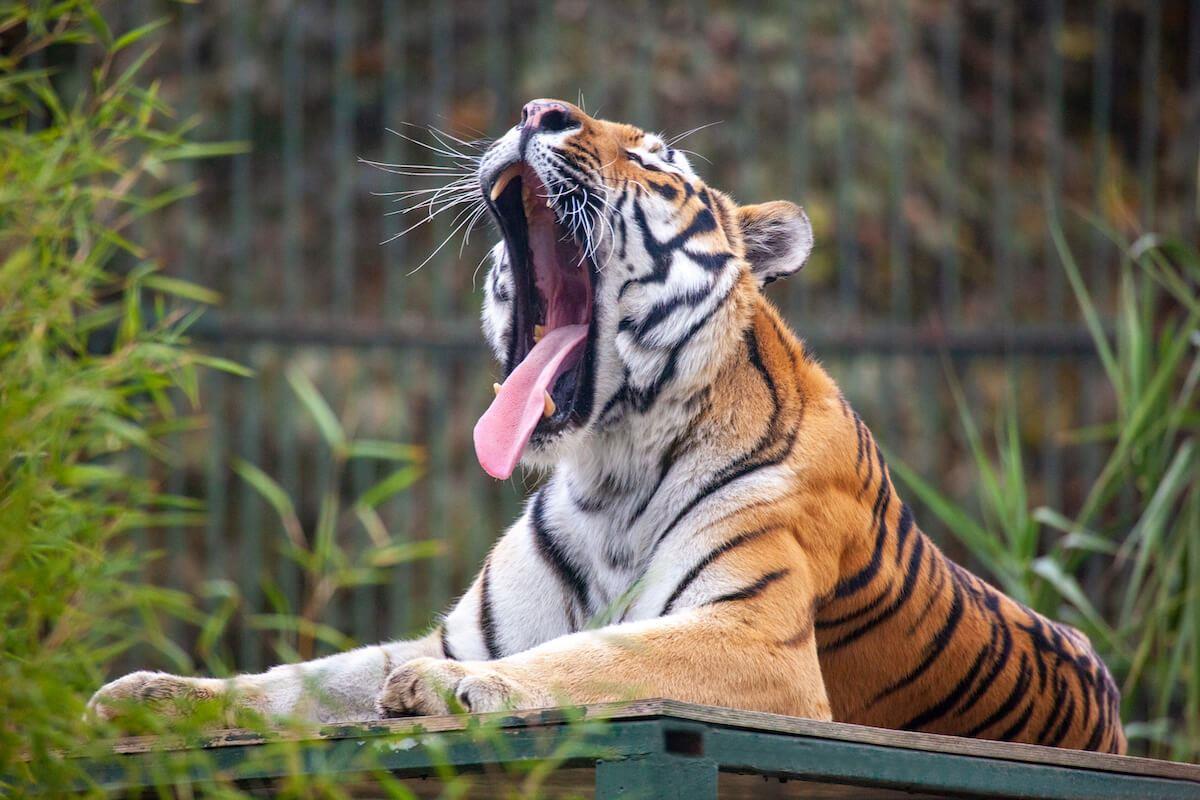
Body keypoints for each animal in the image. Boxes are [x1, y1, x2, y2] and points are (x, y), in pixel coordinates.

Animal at [91, 97, 1123, 753]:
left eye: (659, 162)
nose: (537, 111)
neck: (611, 467)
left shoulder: (756, 642)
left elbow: (602, 654)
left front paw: (444, 695)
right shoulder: (463, 632)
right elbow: (302, 678)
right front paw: (148, 697)